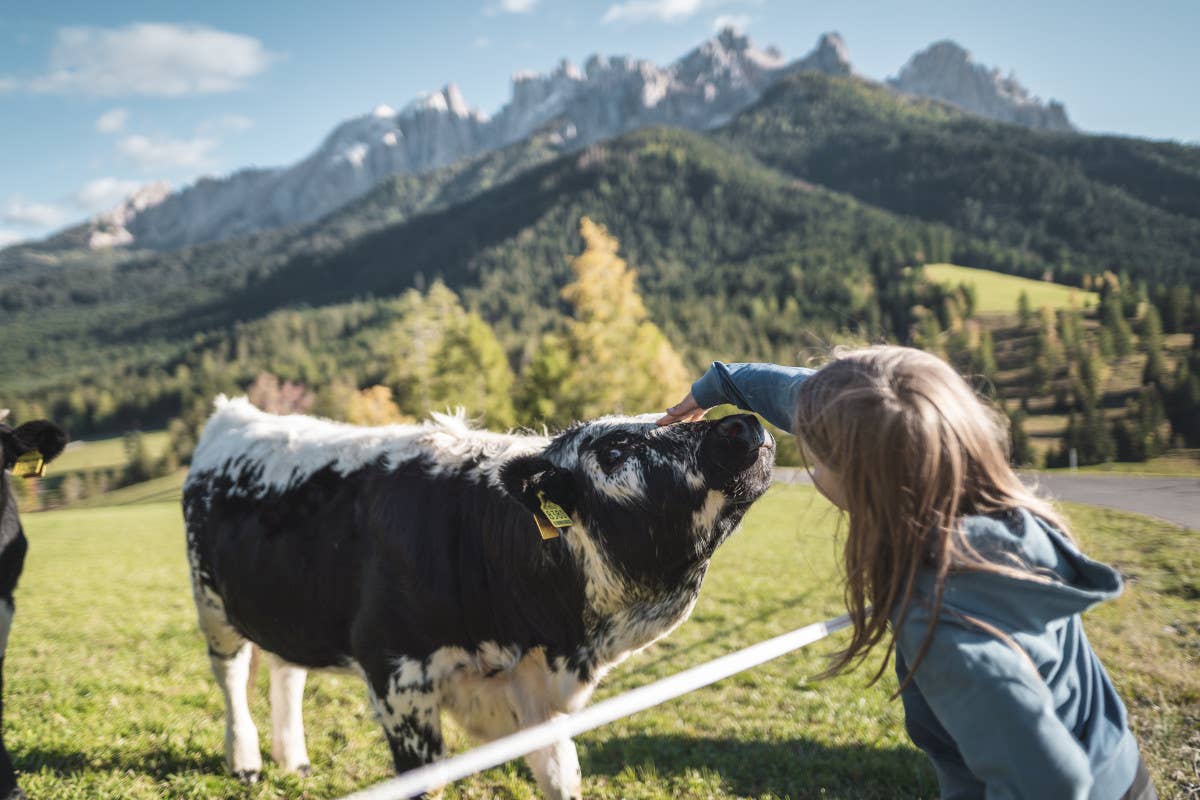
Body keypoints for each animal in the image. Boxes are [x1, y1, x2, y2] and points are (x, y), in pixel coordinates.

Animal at [182, 398, 772, 796]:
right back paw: (246, 761)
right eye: (613, 450)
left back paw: (294, 759)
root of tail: (236, 412)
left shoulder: (534, 692)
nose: (742, 425)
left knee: (287, 671)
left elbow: (562, 775)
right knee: (232, 679)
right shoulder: (395, 677)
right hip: (213, 611)